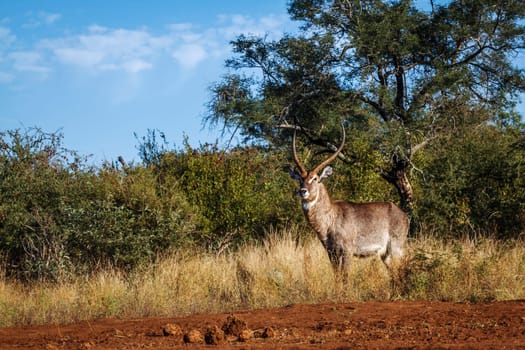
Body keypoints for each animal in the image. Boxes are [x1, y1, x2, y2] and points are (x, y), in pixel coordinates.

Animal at [288, 126, 408, 270]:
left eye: (315, 178)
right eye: (300, 179)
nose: (303, 191)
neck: (331, 217)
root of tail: (404, 215)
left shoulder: (347, 251)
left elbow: (345, 275)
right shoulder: (331, 252)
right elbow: (337, 275)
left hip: (396, 249)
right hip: (386, 255)